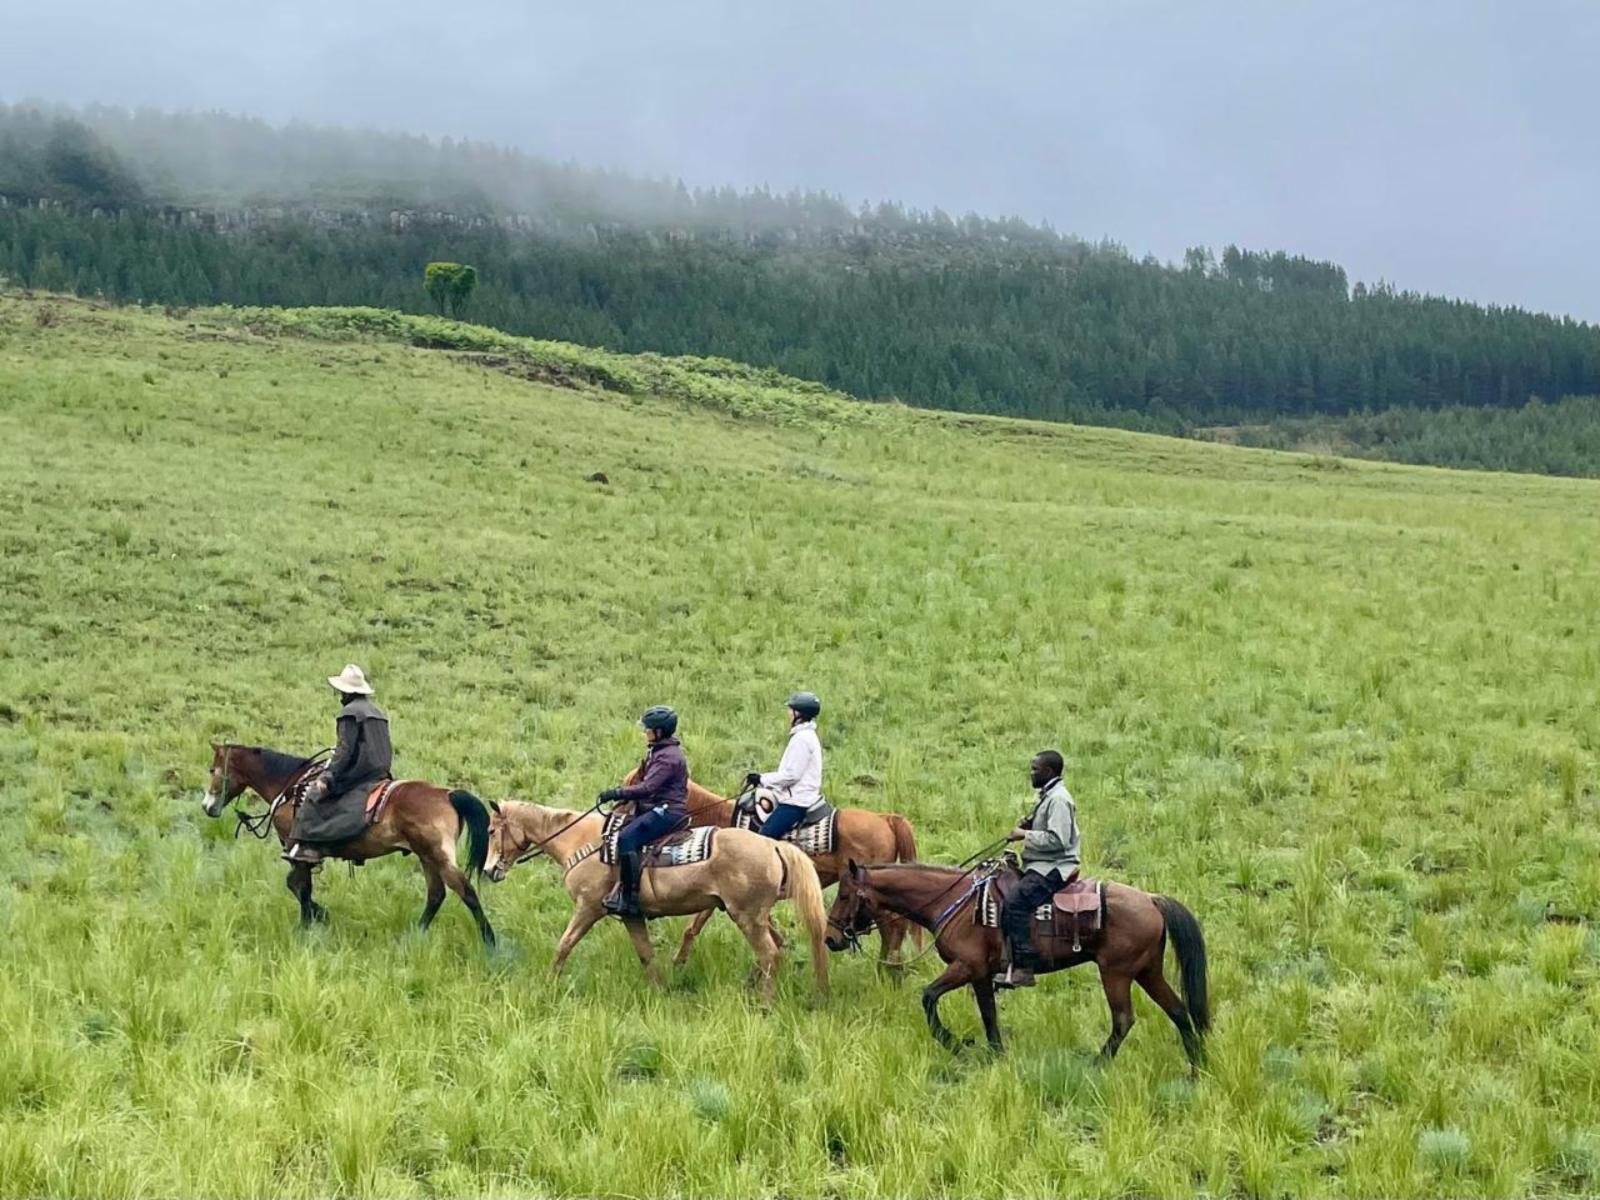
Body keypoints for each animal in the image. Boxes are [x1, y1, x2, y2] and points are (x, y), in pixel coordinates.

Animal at [200, 742, 496, 947]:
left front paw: (310, 922)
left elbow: (299, 887)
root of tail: (448, 793)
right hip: (426, 857)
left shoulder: (297, 850)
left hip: (438, 857)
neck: (291, 787)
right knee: (436, 895)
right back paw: (415, 934)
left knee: (466, 892)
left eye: (213, 770)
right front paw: (319, 916)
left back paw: (490, 944)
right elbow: (298, 886)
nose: (207, 806)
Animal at [483, 800, 829, 1004]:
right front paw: (660, 991)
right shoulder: (631, 915)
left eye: (490, 830)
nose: (488, 870)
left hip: (747, 916)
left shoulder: (588, 907)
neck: (583, 841)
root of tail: (773, 846)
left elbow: (565, 944)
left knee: (769, 953)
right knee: (776, 947)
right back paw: (751, 987)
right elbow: (646, 954)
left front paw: (549, 983)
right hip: (752, 915)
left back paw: (764, 1003)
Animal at [826, 859, 1209, 1066]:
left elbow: (928, 997)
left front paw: (953, 1043)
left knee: (1124, 1019)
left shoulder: (965, 967)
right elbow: (989, 1014)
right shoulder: (980, 974)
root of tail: (1151, 899)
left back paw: (1098, 1063)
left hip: (1115, 973)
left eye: (844, 895)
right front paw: (996, 1054)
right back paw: (1196, 1067)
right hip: (1147, 971)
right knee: (1178, 1010)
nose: (830, 938)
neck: (954, 902)